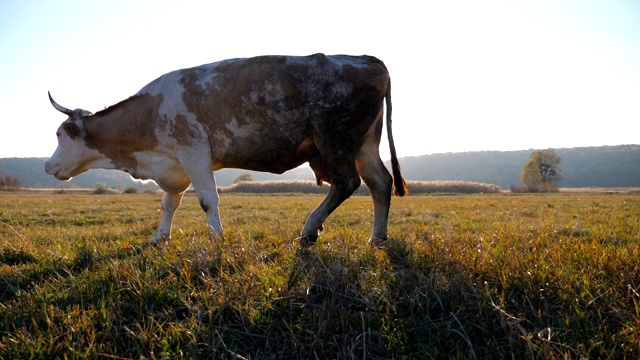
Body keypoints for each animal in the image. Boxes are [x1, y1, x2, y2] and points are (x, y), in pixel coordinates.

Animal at [45, 53, 408, 248]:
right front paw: (159, 237)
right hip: (364, 143)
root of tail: (367, 59)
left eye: (60, 134)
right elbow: (169, 202)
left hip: (335, 139)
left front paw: (217, 239)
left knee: (347, 183)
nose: (48, 166)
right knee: (379, 182)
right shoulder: (176, 163)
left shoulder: (193, 151)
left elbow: (208, 199)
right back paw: (377, 238)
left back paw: (309, 230)